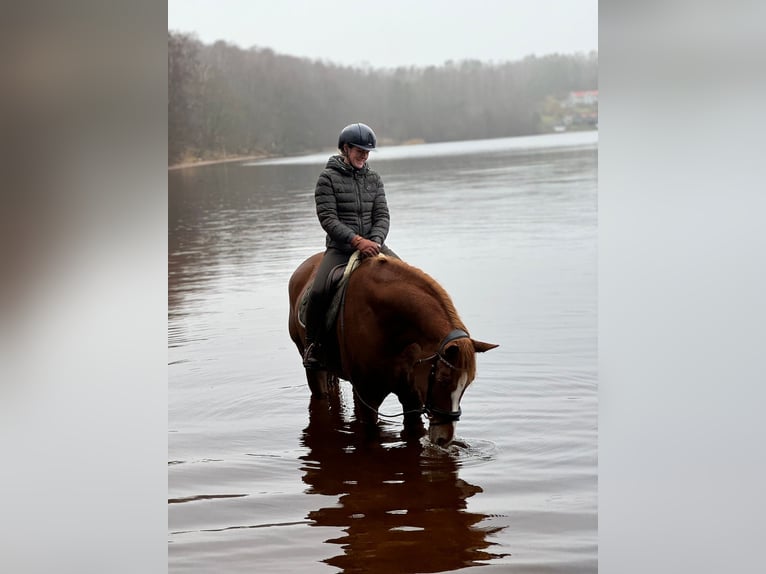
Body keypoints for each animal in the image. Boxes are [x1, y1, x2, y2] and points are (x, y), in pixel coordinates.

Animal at [288, 253, 498, 450]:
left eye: (467, 384)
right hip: (313, 368)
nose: (444, 439)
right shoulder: (368, 399)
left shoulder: (411, 399)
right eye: (443, 379)